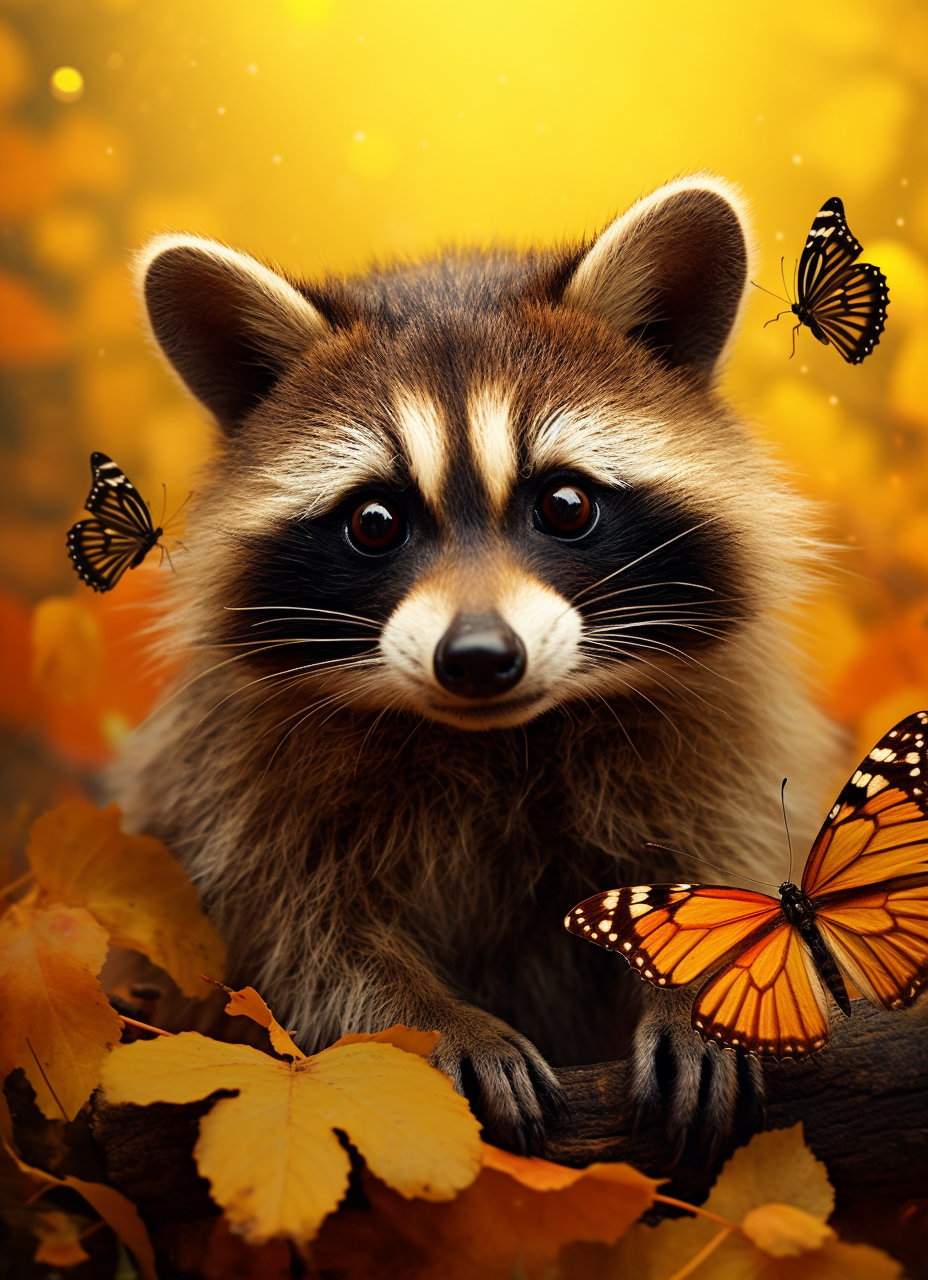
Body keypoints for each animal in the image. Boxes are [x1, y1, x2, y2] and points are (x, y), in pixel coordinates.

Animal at [116, 176, 835, 1151]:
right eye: (374, 522)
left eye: (565, 504)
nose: (480, 658)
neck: (501, 736)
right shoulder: (231, 783)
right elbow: (298, 940)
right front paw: (433, 1022)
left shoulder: (721, 730)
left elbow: (734, 851)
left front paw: (698, 989)